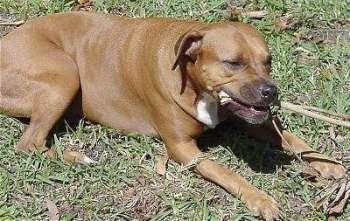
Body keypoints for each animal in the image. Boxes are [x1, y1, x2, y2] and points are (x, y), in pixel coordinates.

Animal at [0, 12, 344, 221]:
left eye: (268, 61)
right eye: (233, 63)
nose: (271, 91)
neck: (193, 81)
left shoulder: (248, 117)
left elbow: (291, 138)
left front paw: (327, 163)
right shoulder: (182, 148)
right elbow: (227, 173)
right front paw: (259, 198)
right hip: (65, 73)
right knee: (29, 144)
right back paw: (78, 157)